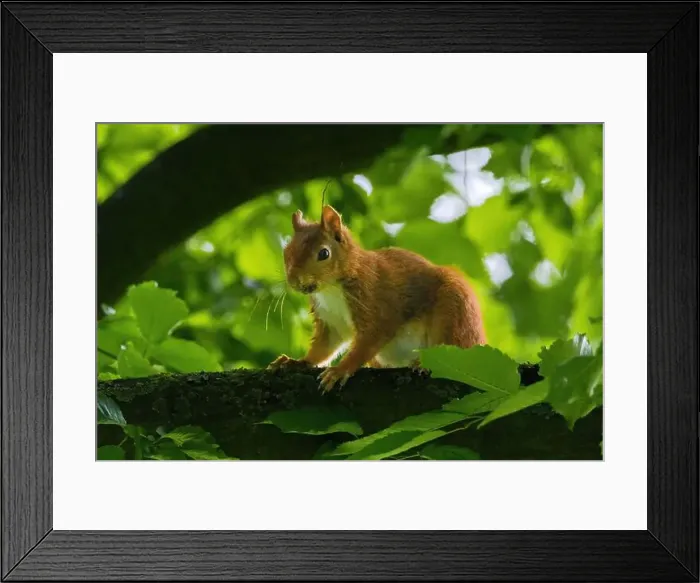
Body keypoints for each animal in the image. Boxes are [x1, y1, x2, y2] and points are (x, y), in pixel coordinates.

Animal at [268, 205, 486, 392]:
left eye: (324, 253)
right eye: (286, 251)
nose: (294, 281)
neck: (330, 289)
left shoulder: (375, 303)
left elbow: (369, 340)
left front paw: (340, 370)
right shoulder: (330, 320)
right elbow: (324, 347)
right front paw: (297, 362)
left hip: (455, 311)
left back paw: (422, 364)